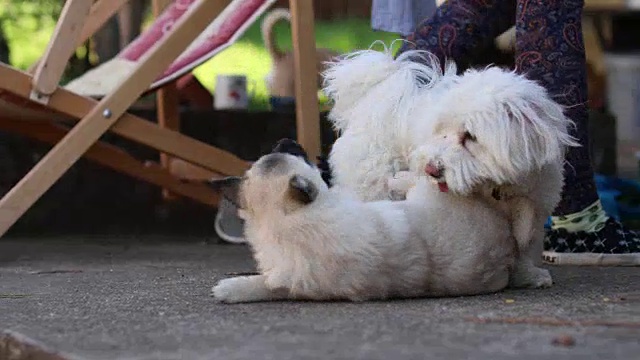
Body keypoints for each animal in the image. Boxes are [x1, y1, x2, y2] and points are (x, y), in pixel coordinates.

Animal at [210, 145, 516, 302]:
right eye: (300, 158)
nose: (291, 142)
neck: (287, 221)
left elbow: (266, 284)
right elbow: (268, 285)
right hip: (430, 197)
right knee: (421, 182)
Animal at [322, 43, 576, 290]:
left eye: (470, 136)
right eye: (441, 131)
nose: (431, 170)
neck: (494, 186)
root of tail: (376, 100)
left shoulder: (535, 204)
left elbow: (524, 246)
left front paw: (528, 275)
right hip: (372, 183)